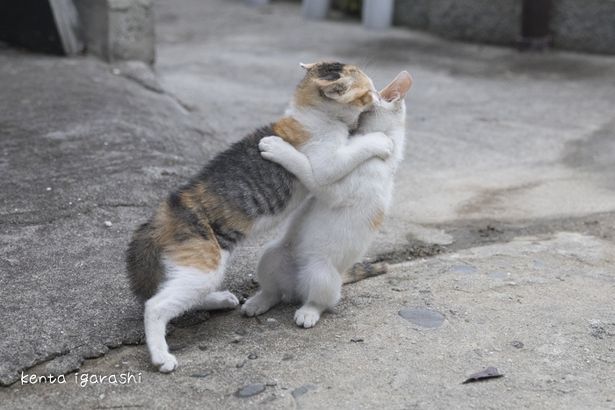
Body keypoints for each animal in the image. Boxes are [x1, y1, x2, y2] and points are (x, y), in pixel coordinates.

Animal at [127, 60, 392, 372]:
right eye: (368, 91)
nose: (379, 96)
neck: (313, 114)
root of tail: (167, 209)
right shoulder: (324, 164)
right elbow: (347, 154)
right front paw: (379, 141)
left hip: (198, 266)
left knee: (180, 295)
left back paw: (220, 300)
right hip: (204, 263)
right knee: (156, 306)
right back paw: (161, 356)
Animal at [242, 70, 414, 326]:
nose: (369, 94)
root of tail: (295, 289)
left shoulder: (335, 190)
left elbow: (310, 169)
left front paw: (280, 150)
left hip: (320, 272)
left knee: (321, 300)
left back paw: (308, 312)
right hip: (272, 254)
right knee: (273, 292)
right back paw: (259, 301)